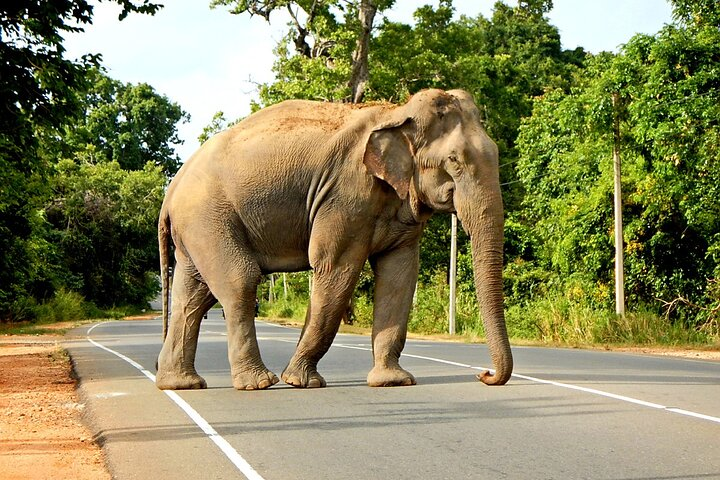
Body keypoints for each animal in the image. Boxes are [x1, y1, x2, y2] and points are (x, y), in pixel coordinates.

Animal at [156, 89, 512, 390]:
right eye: (454, 161)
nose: (484, 374)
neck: (397, 112)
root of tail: (171, 189)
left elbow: (399, 276)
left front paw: (392, 381)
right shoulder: (345, 194)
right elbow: (336, 268)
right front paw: (301, 381)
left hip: (197, 229)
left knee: (193, 295)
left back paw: (181, 384)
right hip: (209, 217)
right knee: (239, 281)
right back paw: (260, 383)